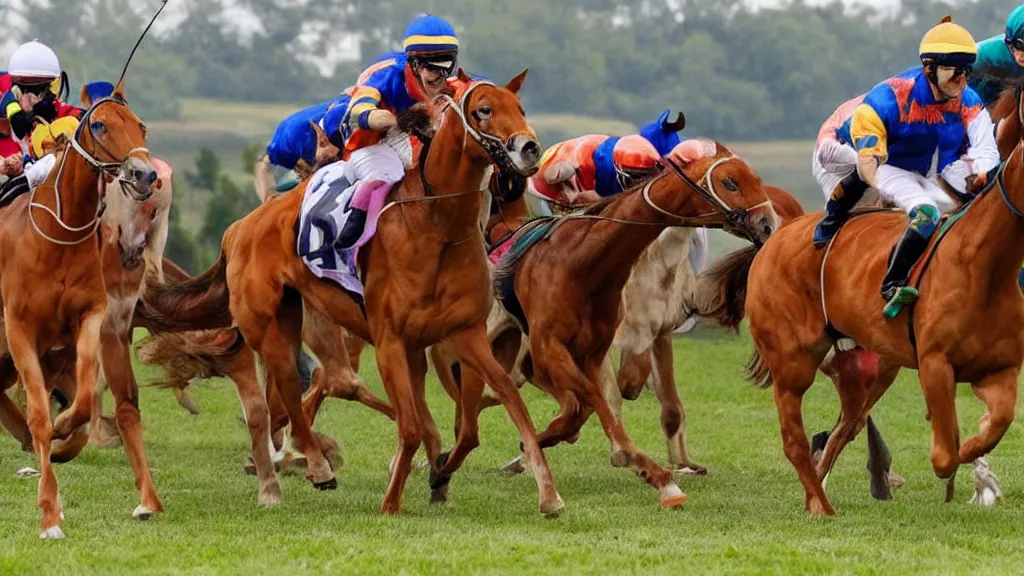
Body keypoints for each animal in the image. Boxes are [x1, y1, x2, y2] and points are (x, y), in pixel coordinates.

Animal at [0, 77, 159, 537]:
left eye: (141, 125)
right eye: (101, 125)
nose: (145, 174)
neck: (57, 238)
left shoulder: (90, 321)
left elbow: (86, 399)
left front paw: (63, 428)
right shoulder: (18, 329)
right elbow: (38, 413)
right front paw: (50, 515)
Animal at [138, 71, 569, 516]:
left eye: (519, 108)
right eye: (483, 110)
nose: (529, 148)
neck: (437, 227)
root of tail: (239, 228)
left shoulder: (464, 334)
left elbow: (500, 410)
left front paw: (543, 493)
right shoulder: (390, 342)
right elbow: (411, 425)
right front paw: (392, 500)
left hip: (291, 319)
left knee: (291, 394)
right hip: (264, 326)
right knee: (287, 391)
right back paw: (310, 468)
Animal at [489, 138, 774, 502]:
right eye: (730, 183)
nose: (768, 224)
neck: (583, 264)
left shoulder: (607, 346)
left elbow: (597, 405)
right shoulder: (553, 345)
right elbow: (601, 400)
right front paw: (654, 473)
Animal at [696, 85, 1024, 516]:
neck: (985, 265)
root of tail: (774, 238)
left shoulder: (1000, 368)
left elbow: (992, 427)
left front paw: (980, 470)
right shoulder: (935, 364)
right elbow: (944, 453)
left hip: (864, 372)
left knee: (841, 430)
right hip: (794, 362)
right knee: (796, 440)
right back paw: (822, 505)